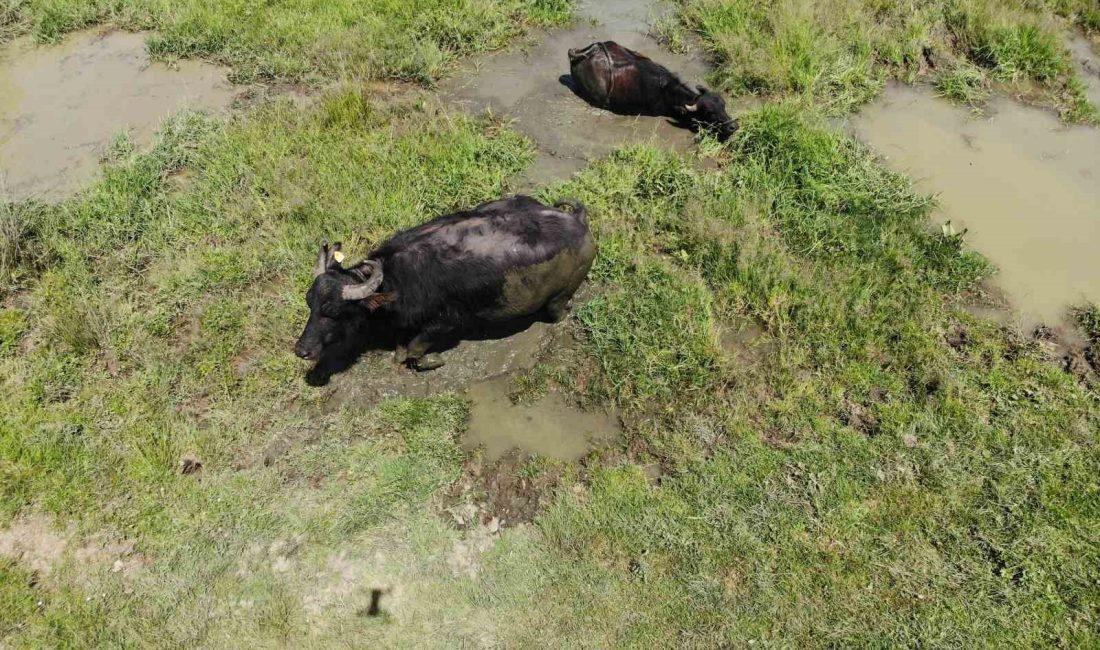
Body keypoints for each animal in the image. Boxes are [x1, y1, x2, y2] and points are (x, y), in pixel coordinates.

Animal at [294, 195, 594, 373]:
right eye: (310, 303)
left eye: (332, 312)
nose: (301, 350)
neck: (395, 279)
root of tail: (577, 221)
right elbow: (401, 348)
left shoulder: (446, 323)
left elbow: (415, 349)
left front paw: (432, 360)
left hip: (558, 299)